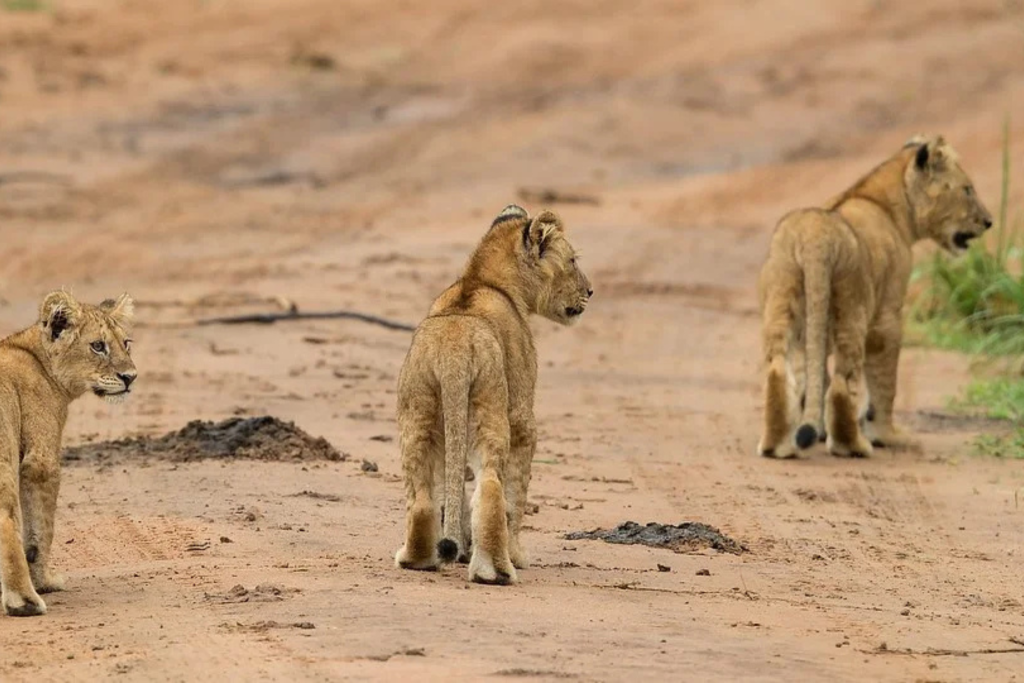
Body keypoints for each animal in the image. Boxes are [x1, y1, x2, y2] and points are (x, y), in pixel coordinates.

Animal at [0, 290, 136, 616]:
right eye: (98, 346)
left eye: (126, 343)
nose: (131, 377)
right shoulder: (41, 458)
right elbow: (41, 529)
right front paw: (45, 582)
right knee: (6, 519)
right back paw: (24, 601)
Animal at [394, 204, 592, 584]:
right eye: (573, 260)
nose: (591, 291)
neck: (482, 280)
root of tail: (453, 350)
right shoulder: (523, 418)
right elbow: (516, 496)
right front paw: (517, 554)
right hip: (490, 405)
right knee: (490, 487)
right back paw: (497, 570)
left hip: (418, 410)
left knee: (423, 494)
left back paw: (417, 558)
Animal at [757, 135, 992, 459]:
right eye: (967, 190)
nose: (988, 222)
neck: (889, 204)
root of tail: (815, 237)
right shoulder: (888, 316)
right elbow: (884, 383)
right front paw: (887, 435)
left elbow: (816, 377)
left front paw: (820, 429)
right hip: (853, 307)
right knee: (843, 382)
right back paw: (854, 446)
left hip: (782, 300)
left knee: (778, 370)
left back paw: (777, 446)